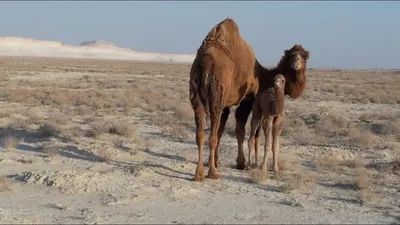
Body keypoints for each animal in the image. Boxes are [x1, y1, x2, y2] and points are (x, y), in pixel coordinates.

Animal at [189, 18, 310, 183]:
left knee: (200, 133)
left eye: (304, 57)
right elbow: (244, 132)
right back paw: (213, 173)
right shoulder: (249, 100)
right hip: (217, 95)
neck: (264, 77)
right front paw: (244, 163)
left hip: (197, 95)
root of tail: (205, 61)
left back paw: (199, 174)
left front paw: (217, 161)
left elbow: (222, 130)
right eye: (292, 56)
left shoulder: (227, 104)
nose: (296, 63)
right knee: (211, 135)